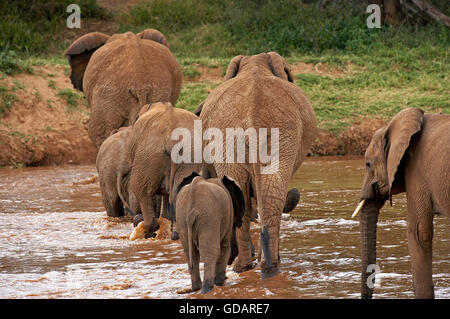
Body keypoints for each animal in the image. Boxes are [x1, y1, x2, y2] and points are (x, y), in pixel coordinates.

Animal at [199, 52, 318, 278]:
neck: (255, 62)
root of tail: (252, 114)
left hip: (240, 139)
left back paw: (255, 267)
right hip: (259, 138)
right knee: (268, 197)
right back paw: (261, 266)